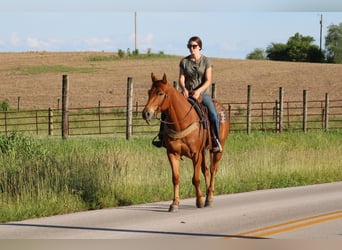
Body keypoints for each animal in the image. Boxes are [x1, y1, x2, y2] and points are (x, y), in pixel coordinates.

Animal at [142, 72, 230, 211]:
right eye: (149, 92)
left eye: (160, 93)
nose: (146, 113)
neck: (181, 122)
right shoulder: (172, 154)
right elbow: (176, 178)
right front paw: (174, 203)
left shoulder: (196, 154)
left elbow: (195, 179)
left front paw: (199, 200)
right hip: (204, 151)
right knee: (206, 170)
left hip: (217, 151)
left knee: (213, 170)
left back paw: (209, 197)